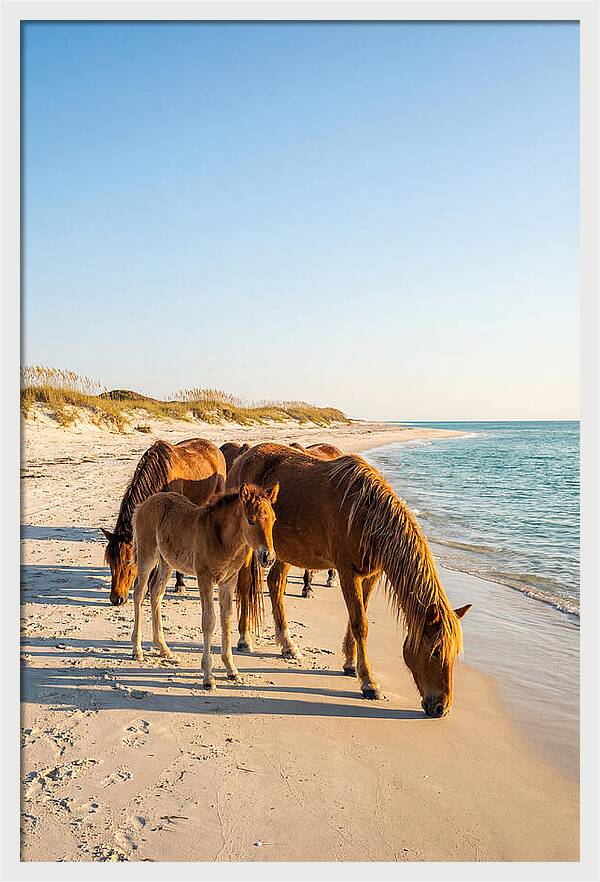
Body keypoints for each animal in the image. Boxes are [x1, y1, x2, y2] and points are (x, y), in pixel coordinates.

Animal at [101, 438, 226, 605]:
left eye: (128, 561)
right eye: (110, 562)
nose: (116, 599)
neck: (160, 478)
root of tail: (214, 447)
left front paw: (179, 584)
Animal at [131, 482, 278, 688]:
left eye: (273, 520)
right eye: (250, 520)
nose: (268, 557)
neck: (223, 539)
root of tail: (144, 504)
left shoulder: (228, 581)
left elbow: (226, 619)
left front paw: (232, 670)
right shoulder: (205, 578)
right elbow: (209, 621)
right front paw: (208, 676)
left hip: (166, 561)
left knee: (155, 593)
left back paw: (163, 648)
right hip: (147, 555)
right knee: (139, 592)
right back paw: (137, 650)